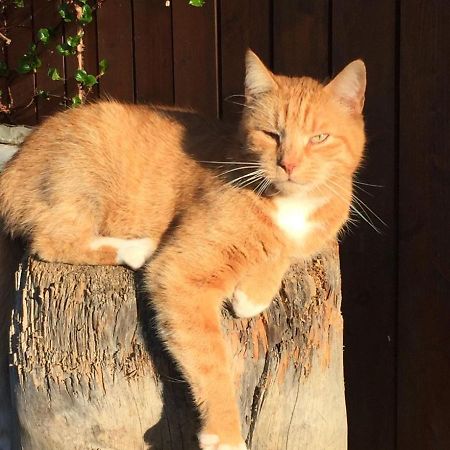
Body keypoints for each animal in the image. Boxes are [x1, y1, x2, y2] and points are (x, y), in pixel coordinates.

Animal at [0, 51, 366, 448]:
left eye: (320, 137)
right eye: (271, 134)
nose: (289, 164)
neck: (290, 205)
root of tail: (13, 162)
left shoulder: (310, 238)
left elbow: (283, 250)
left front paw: (253, 292)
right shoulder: (180, 274)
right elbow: (211, 360)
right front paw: (225, 433)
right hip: (81, 183)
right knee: (49, 240)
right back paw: (136, 248)